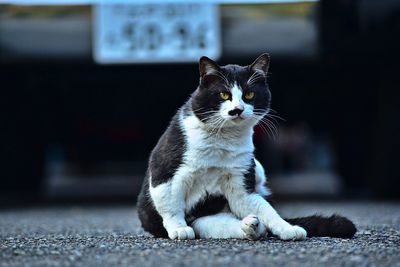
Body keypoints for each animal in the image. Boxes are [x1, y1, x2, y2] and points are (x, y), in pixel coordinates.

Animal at [138, 52, 356, 241]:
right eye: (224, 95)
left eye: (249, 94)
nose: (237, 110)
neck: (221, 140)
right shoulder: (165, 169)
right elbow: (170, 204)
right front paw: (179, 229)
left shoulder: (240, 182)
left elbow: (264, 208)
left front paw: (288, 228)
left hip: (251, 174)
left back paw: (253, 226)